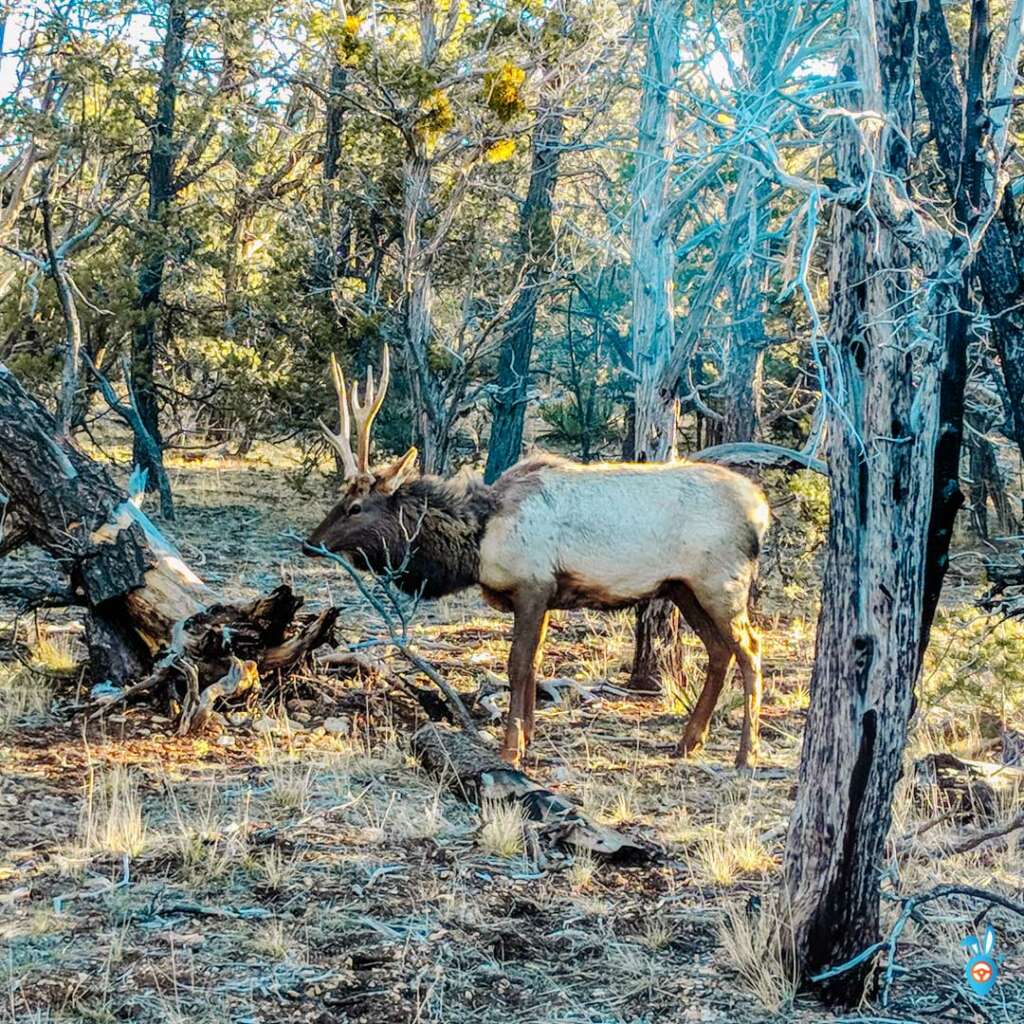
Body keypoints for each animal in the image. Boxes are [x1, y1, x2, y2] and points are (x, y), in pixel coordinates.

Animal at [303, 348, 770, 765]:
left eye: (355, 507)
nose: (310, 542)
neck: (479, 541)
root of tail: (761, 511)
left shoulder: (532, 585)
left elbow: (517, 665)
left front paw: (510, 749)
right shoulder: (544, 596)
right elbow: (535, 667)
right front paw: (527, 739)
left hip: (721, 584)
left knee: (749, 649)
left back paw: (746, 754)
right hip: (683, 589)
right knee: (719, 652)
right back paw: (688, 742)